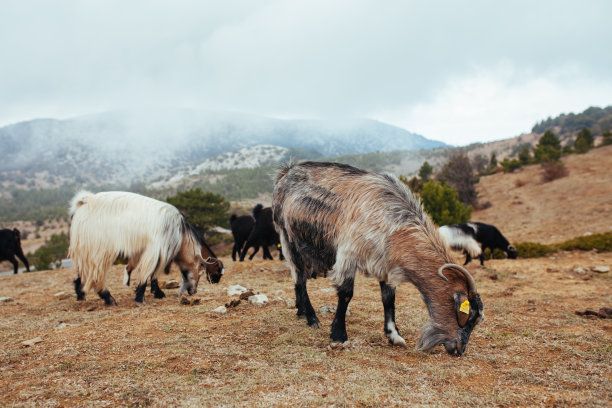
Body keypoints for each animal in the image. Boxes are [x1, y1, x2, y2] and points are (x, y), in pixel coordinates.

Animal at [70, 192, 222, 306]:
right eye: (201, 271)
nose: (193, 291)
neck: (180, 233)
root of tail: (83, 203)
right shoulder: (155, 250)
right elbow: (149, 272)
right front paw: (141, 297)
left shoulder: (145, 252)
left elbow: (151, 274)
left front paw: (156, 293)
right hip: (99, 249)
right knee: (95, 275)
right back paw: (108, 298)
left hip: (86, 250)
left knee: (83, 272)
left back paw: (80, 294)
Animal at [272, 161, 482, 356]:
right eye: (468, 317)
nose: (459, 350)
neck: (393, 222)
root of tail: (285, 172)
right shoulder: (349, 254)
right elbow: (346, 294)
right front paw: (339, 334)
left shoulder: (384, 264)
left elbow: (389, 300)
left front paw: (394, 336)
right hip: (288, 238)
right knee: (300, 277)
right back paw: (311, 317)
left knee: (298, 279)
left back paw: (300, 311)